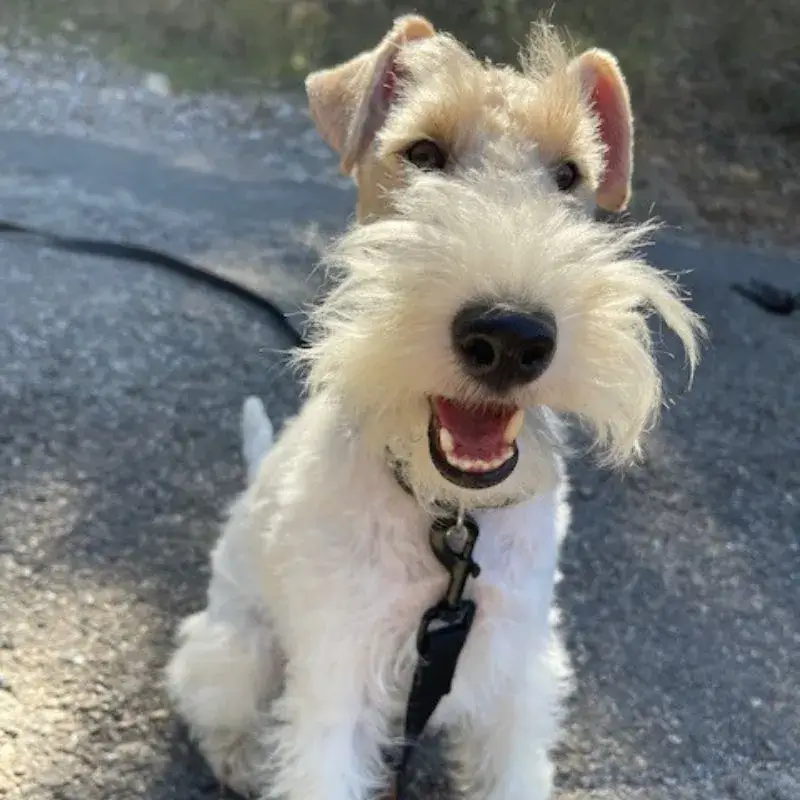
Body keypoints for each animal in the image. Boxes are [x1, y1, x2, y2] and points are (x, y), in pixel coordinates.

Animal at [166, 14, 704, 800]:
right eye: (422, 153)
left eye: (569, 174)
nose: (511, 336)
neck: (448, 523)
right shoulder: (338, 673)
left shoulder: (516, 661)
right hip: (243, 646)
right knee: (207, 687)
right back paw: (237, 754)